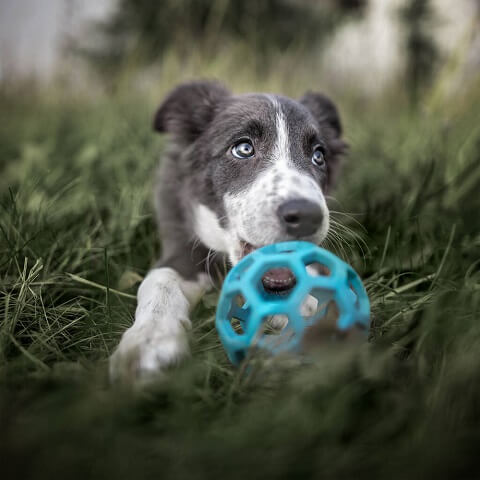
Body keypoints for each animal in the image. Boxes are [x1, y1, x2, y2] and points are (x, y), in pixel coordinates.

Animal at [110, 80, 346, 384]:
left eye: (318, 155)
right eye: (243, 148)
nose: (307, 217)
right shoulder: (181, 244)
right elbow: (160, 281)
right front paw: (148, 343)